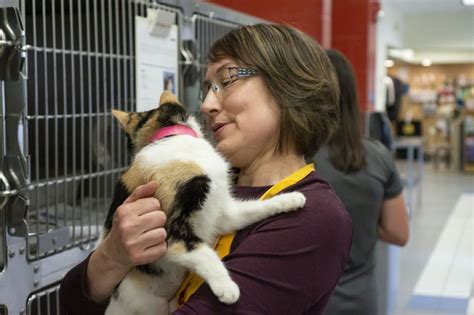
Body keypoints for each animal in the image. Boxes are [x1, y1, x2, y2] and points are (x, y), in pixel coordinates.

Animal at [101, 91, 306, 315]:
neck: (172, 137)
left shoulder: (224, 213)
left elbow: (253, 208)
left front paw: (290, 199)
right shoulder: (171, 231)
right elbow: (202, 252)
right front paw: (226, 287)